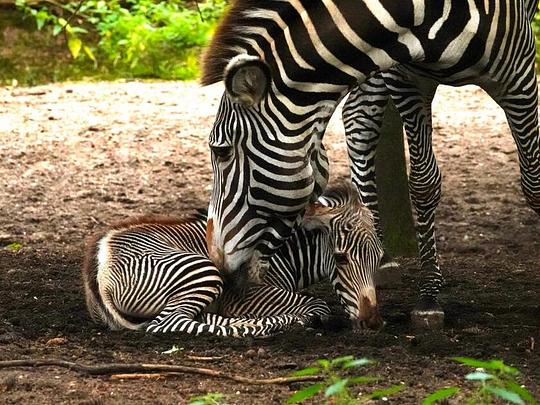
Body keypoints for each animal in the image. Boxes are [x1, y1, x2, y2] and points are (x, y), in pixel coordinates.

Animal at [82, 185, 382, 336]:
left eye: (379, 259)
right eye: (340, 258)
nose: (372, 323)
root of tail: (101, 257)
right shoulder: (248, 293)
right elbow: (318, 304)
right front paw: (300, 316)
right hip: (203, 271)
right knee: (167, 323)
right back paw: (273, 323)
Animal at [200, 0, 536, 326]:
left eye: (221, 151)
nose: (215, 262)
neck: (418, 11)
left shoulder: (518, 72)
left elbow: (533, 183)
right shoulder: (404, 75)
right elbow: (423, 182)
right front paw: (428, 296)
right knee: (359, 118)